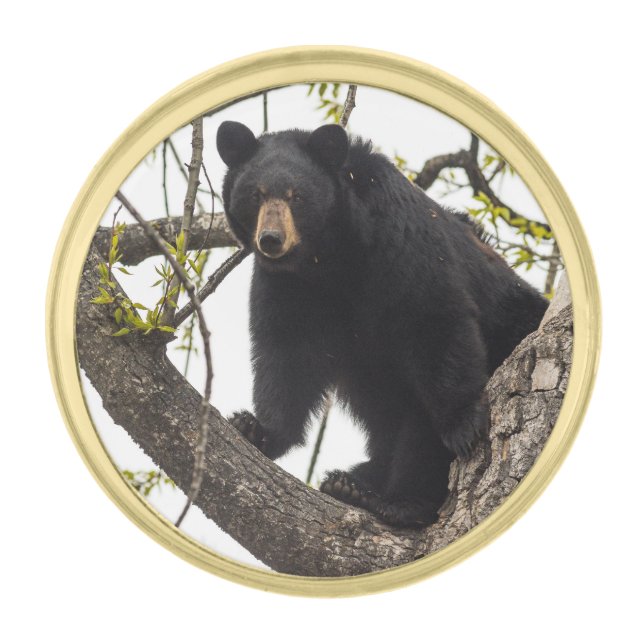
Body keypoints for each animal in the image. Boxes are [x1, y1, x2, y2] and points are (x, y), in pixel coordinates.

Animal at [216, 120, 548, 528]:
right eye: (256, 194)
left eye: (297, 196)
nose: (271, 240)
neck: (331, 257)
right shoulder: (289, 286)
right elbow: (286, 353)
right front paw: (256, 427)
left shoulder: (401, 243)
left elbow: (434, 320)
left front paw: (464, 425)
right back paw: (351, 482)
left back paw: (394, 500)